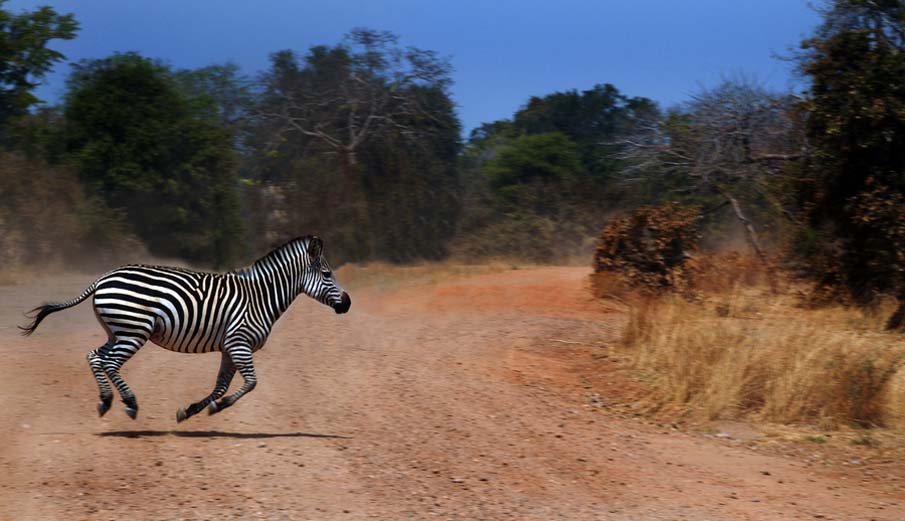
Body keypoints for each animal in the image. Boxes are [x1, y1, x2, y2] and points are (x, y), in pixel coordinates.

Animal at [18, 236, 350, 422]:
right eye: (326, 274)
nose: (347, 303)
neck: (261, 297)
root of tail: (102, 279)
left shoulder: (229, 347)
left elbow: (221, 386)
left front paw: (191, 411)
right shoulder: (239, 342)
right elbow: (251, 383)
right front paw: (217, 408)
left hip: (117, 331)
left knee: (94, 356)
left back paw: (105, 401)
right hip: (133, 331)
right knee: (109, 363)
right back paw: (130, 403)